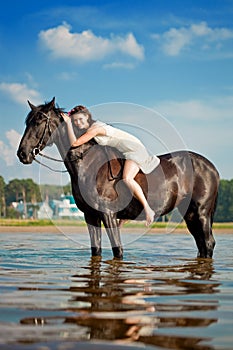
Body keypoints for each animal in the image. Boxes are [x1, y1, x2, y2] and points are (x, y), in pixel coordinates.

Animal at [17, 97, 219, 258]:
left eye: (39, 121)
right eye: (27, 122)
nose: (22, 154)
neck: (88, 164)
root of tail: (211, 168)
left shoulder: (108, 215)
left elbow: (118, 251)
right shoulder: (90, 216)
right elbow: (96, 250)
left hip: (201, 213)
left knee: (208, 243)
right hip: (190, 215)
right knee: (202, 245)